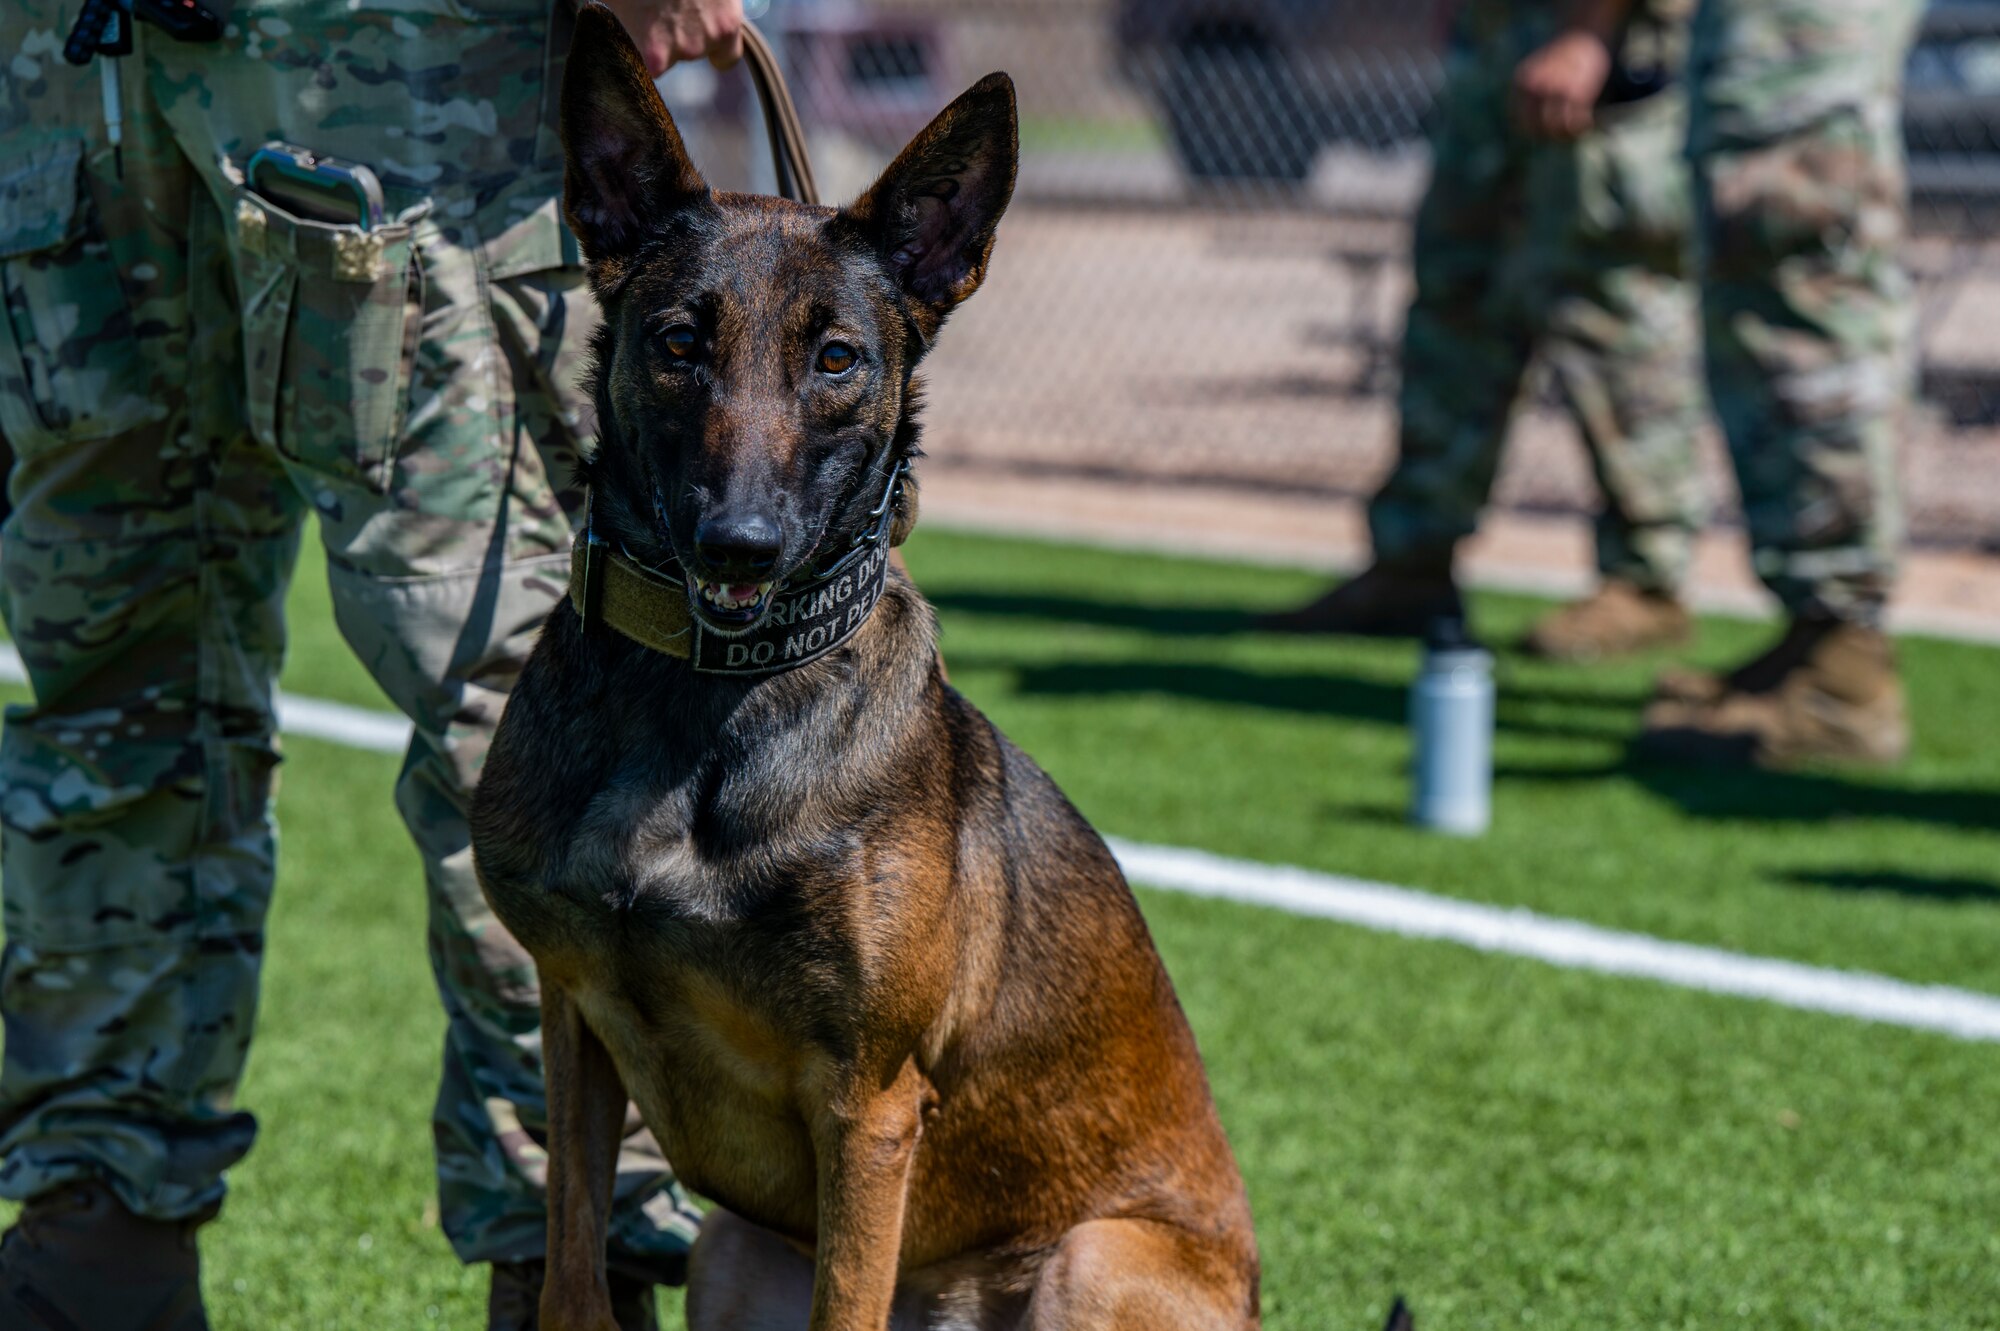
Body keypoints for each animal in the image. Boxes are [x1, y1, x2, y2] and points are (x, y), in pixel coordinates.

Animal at [470, 5, 1256, 1319]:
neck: (703, 698)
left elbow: (847, 1297)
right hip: (729, 1246)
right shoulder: (573, 1024)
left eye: (836, 359)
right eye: (678, 342)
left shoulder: (867, 1102)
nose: (740, 542)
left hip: (1093, 1257)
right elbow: (572, 1277)